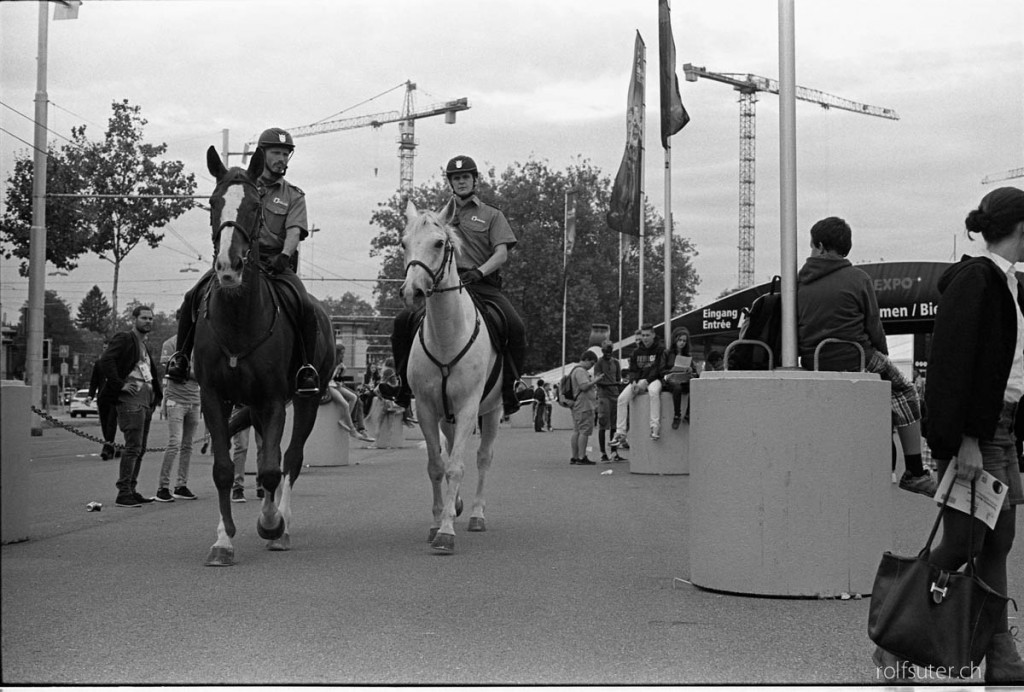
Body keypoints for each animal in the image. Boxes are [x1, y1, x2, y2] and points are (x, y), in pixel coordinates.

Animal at [194, 147, 331, 569]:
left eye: (255, 206)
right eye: (213, 202)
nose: (228, 267)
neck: (239, 316)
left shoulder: (273, 401)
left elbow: (272, 469)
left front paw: (270, 525)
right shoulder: (214, 397)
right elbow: (223, 470)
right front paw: (223, 541)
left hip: (305, 401)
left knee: (291, 460)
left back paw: (281, 528)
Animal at [399, 198, 503, 552]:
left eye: (439, 243)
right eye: (403, 243)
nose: (413, 292)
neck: (446, 336)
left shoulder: (470, 406)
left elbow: (457, 466)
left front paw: (446, 532)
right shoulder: (426, 408)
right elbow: (436, 466)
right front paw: (437, 522)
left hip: (493, 410)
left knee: (484, 458)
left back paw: (476, 515)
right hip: (448, 415)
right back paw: (455, 505)